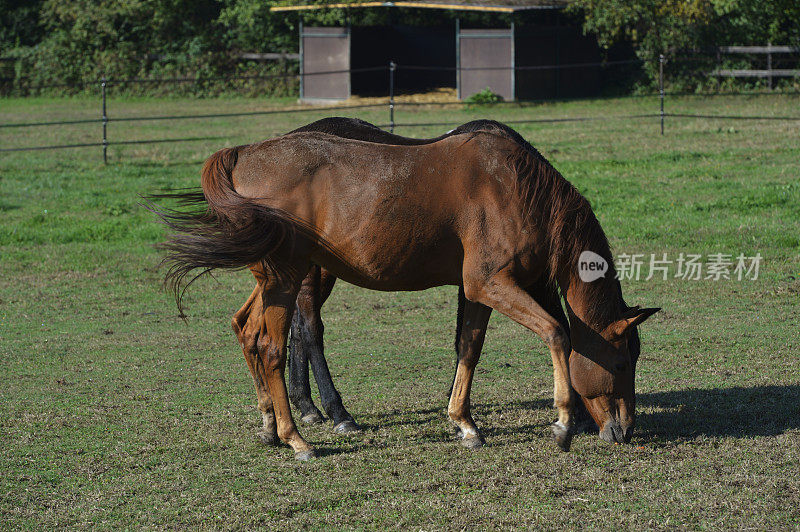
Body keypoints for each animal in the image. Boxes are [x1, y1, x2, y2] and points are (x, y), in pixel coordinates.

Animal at [156, 127, 656, 460]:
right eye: (619, 364)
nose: (626, 430)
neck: (516, 189)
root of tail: (243, 154)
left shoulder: (477, 291)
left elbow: (468, 349)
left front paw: (465, 423)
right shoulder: (492, 284)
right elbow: (556, 333)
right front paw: (563, 422)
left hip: (272, 281)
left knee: (246, 331)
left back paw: (269, 426)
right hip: (286, 280)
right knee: (273, 347)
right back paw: (298, 437)